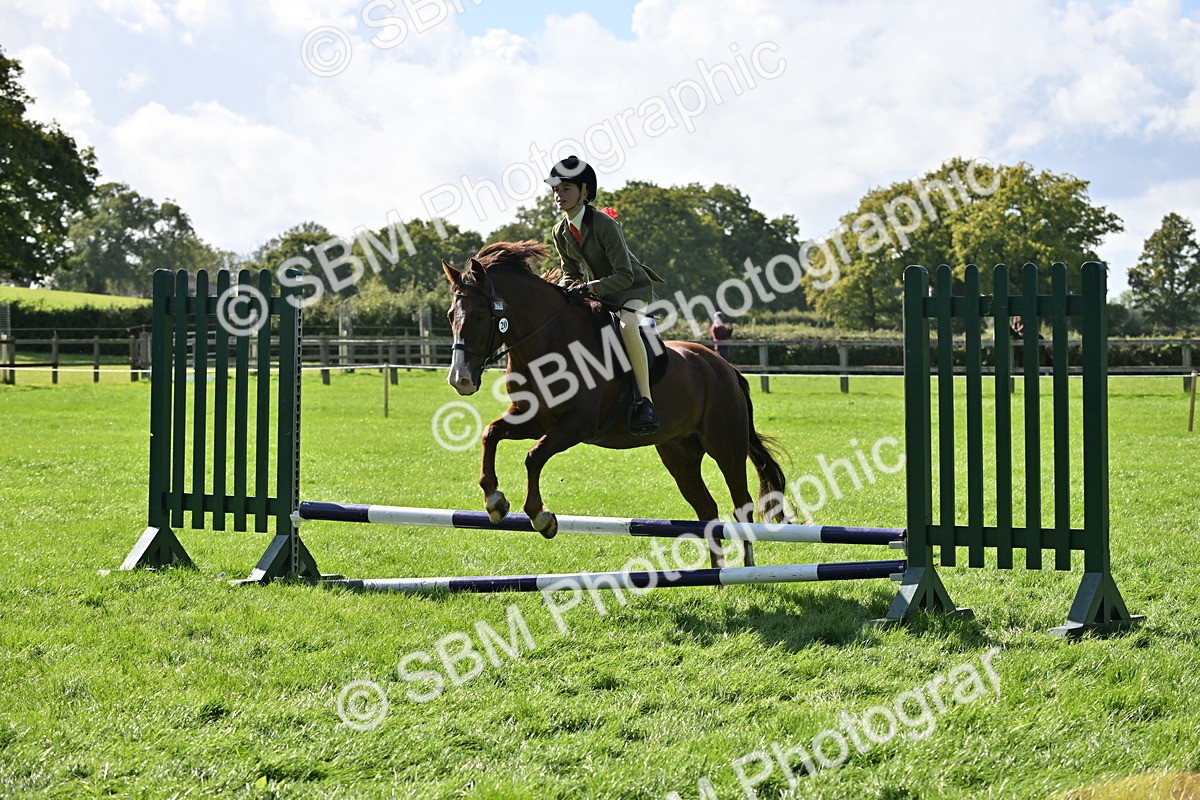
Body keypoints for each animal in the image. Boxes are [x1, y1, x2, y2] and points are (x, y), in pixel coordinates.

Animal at [441, 241, 789, 568]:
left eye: (480, 315)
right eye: (450, 316)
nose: (460, 379)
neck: (549, 344)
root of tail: (725, 368)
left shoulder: (576, 426)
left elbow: (533, 456)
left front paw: (541, 517)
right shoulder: (534, 419)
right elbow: (491, 434)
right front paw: (495, 502)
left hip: (725, 445)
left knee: (741, 504)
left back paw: (746, 569)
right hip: (680, 453)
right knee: (707, 509)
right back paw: (716, 579)